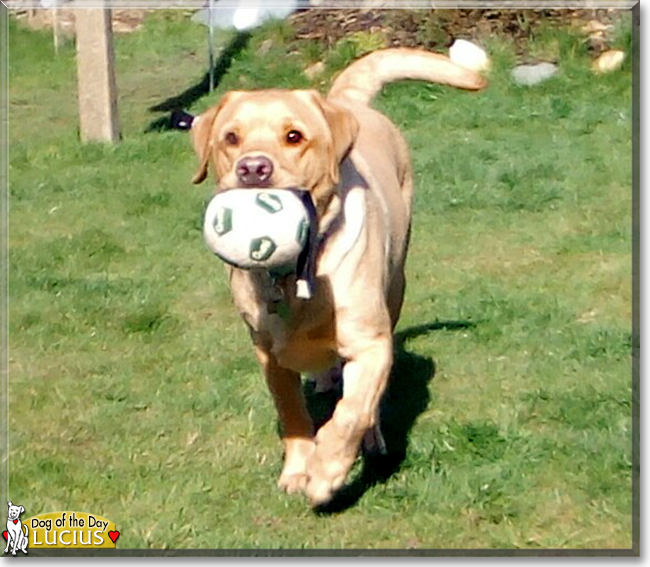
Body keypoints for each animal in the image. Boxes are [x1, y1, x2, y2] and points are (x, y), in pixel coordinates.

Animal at [187, 48, 480, 506]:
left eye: (294, 136)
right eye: (231, 138)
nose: (253, 168)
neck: (294, 275)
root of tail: (348, 103)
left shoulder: (370, 342)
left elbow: (351, 412)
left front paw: (327, 471)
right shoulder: (268, 354)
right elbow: (292, 415)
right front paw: (296, 469)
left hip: (395, 283)